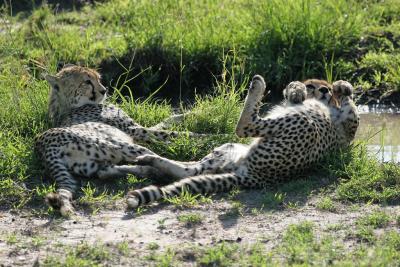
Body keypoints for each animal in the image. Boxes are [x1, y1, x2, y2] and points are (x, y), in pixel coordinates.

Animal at [35, 65, 200, 218]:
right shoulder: (136, 130)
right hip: (119, 145)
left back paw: (151, 171)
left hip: (93, 164)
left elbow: (168, 120)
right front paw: (200, 137)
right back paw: (194, 165)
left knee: (105, 172)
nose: (104, 90)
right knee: (173, 165)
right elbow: (172, 133)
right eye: (86, 82)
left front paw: (192, 114)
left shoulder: (137, 130)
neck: (69, 107)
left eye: (98, 78)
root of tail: (42, 145)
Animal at [127, 74, 360, 208]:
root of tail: (254, 177)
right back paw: (148, 159)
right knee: (189, 171)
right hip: (227, 150)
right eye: (313, 84)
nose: (325, 89)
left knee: (244, 126)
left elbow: (352, 110)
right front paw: (297, 89)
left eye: (323, 85)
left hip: (303, 123)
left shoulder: (347, 130)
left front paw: (342, 86)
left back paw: (257, 85)